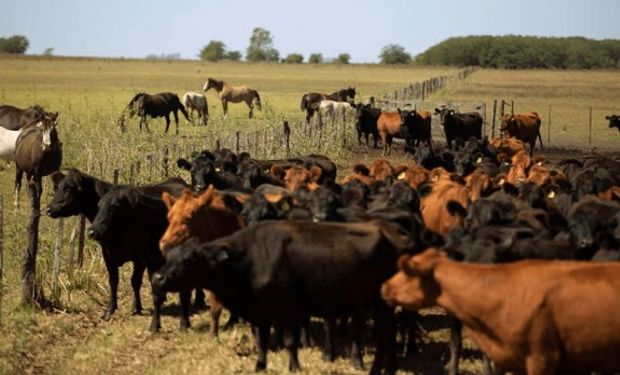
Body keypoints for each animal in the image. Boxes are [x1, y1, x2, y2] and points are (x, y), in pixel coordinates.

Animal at [150, 220, 412, 374]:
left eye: (189, 259)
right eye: (170, 255)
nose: (157, 278)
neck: (251, 258)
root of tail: (396, 237)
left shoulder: (287, 310)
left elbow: (289, 341)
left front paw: (293, 366)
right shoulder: (262, 312)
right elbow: (263, 340)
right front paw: (260, 365)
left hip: (381, 305)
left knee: (386, 335)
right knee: (388, 335)